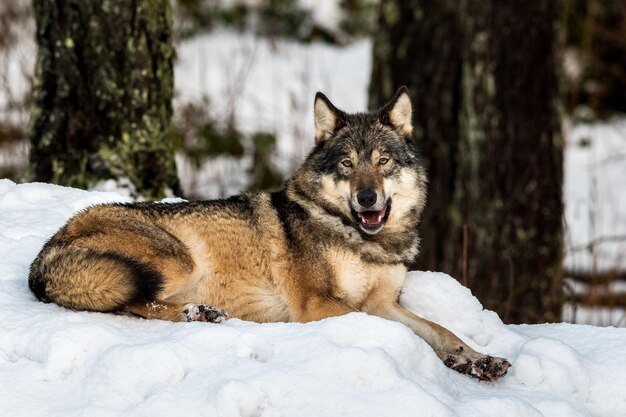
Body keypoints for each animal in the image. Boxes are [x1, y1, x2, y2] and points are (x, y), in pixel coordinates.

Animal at [26, 88, 510, 380]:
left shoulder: (382, 302)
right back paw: (198, 313)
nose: (367, 198)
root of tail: (42, 258)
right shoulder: (319, 305)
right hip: (173, 259)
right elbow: (408, 335)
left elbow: (441, 330)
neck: (364, 241)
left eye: (383, 161)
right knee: (132, 302)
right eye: (347, 165)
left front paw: (477, 358)